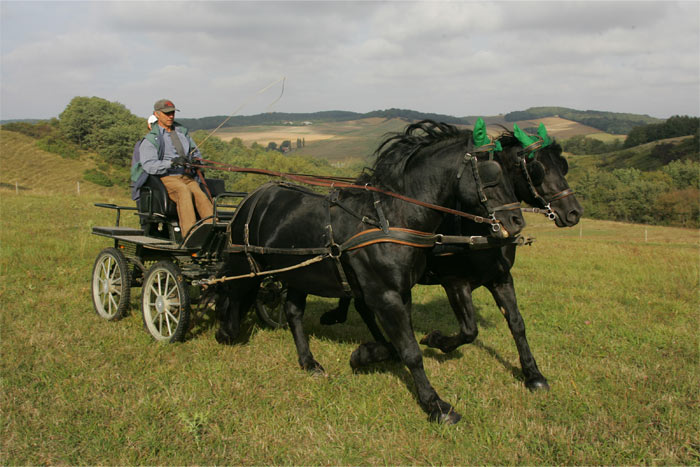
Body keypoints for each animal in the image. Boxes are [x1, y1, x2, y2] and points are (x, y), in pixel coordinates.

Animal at [219, 119, 524, 424]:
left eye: (511, 172)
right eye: (491, 172)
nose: (516, 221)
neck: (390, 219)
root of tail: (253, 197)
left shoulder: (400, 294)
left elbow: (396, 344)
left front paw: (362, 355)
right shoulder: (385, 295)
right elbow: (411, 352)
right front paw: (436, 405)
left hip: (298, 274)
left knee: (293, 312)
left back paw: (308, 361)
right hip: (246, 266)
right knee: (232, 295)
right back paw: (226, 332)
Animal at [320, 123, 584, 392]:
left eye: (562, 166)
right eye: (537, 169)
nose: (574, 212)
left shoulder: (501, 278)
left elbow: (517, 323)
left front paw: (533, 374)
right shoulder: (455, 282)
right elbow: (469, 330)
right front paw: (437, 340)